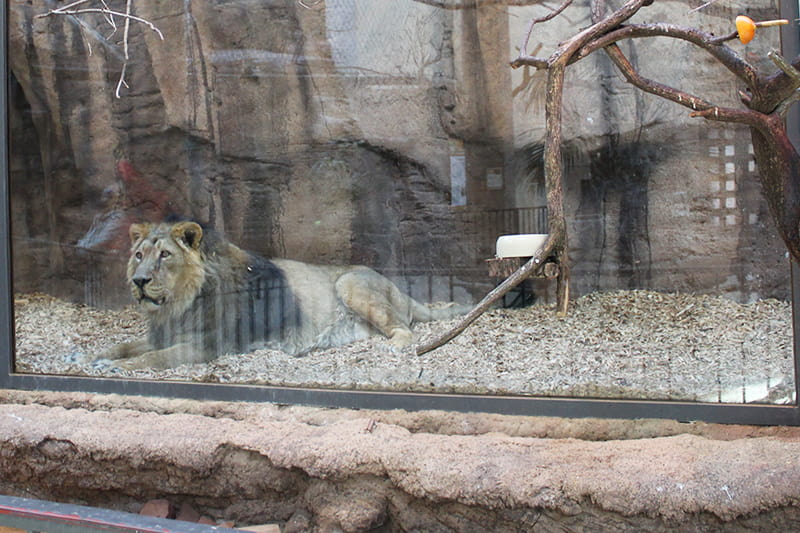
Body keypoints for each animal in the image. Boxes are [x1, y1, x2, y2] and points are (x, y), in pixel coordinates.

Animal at [101, 218, 476, 368]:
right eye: (139, 255)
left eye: (165, 255)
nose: (139, 281)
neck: (176, 307)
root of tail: (401, 290)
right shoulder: (162, 333)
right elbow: (127, 346)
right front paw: (97, 357)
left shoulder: (209, 345)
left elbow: (152, 359)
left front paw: (118, 368)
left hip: (349, 282)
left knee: (405, 328)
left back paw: (394, 347)